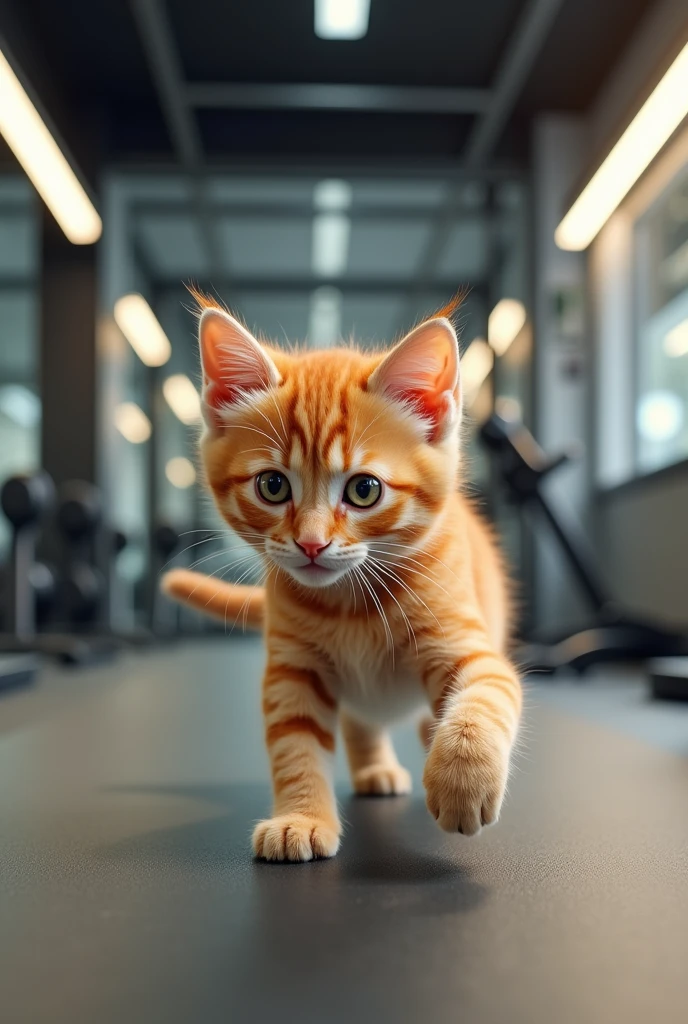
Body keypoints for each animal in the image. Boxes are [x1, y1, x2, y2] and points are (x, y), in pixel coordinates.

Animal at [163, 296, 524, 864]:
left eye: (364, 490)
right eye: (272, 485)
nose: (311, 544)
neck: (350, 601)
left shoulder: (466, 643)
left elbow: (484, 697)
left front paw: (462, 779)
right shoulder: (292, 670)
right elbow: (295, 744)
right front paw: (302, 817)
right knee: (360, 719)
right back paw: (375, 767)